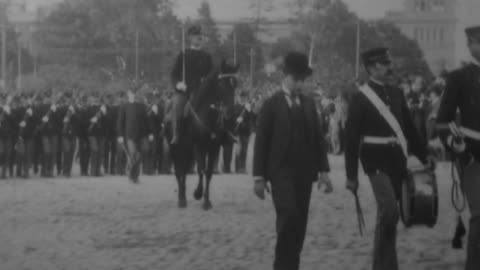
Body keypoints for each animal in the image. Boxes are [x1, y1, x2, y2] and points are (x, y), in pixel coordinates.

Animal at [169, 60, 240, 210]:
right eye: (223, 84)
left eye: (235, 84)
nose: (231, 112)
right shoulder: (198, 147)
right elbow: (201, 169)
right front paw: (197, 193)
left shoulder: (213, 148)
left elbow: (208, 173)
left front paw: (207, 201)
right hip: (176, 149)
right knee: (179, 171)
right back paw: (181, 200)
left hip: (187, 151)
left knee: (184, 171)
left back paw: (184, 196)